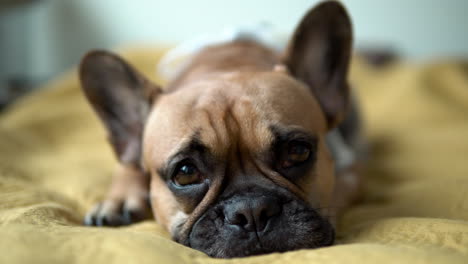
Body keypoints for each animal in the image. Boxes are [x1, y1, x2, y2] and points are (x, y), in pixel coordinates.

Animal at [78, 1, 364, 258]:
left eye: (297, 152)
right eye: (185, 173)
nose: (252, 210)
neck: (226, 67)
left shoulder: (350, 171)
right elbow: (127, 165)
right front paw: (117, 199)